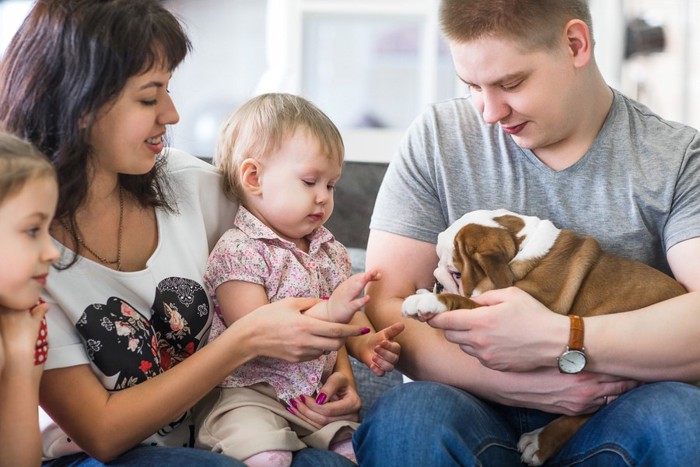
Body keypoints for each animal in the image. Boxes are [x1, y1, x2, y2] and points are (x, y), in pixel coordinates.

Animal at [402, 210, 688, 466]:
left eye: (457, 273)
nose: (437, 283)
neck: (522, 247)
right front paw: (426, 292)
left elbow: (463, 301)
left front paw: (429, 300)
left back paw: (539, 441)